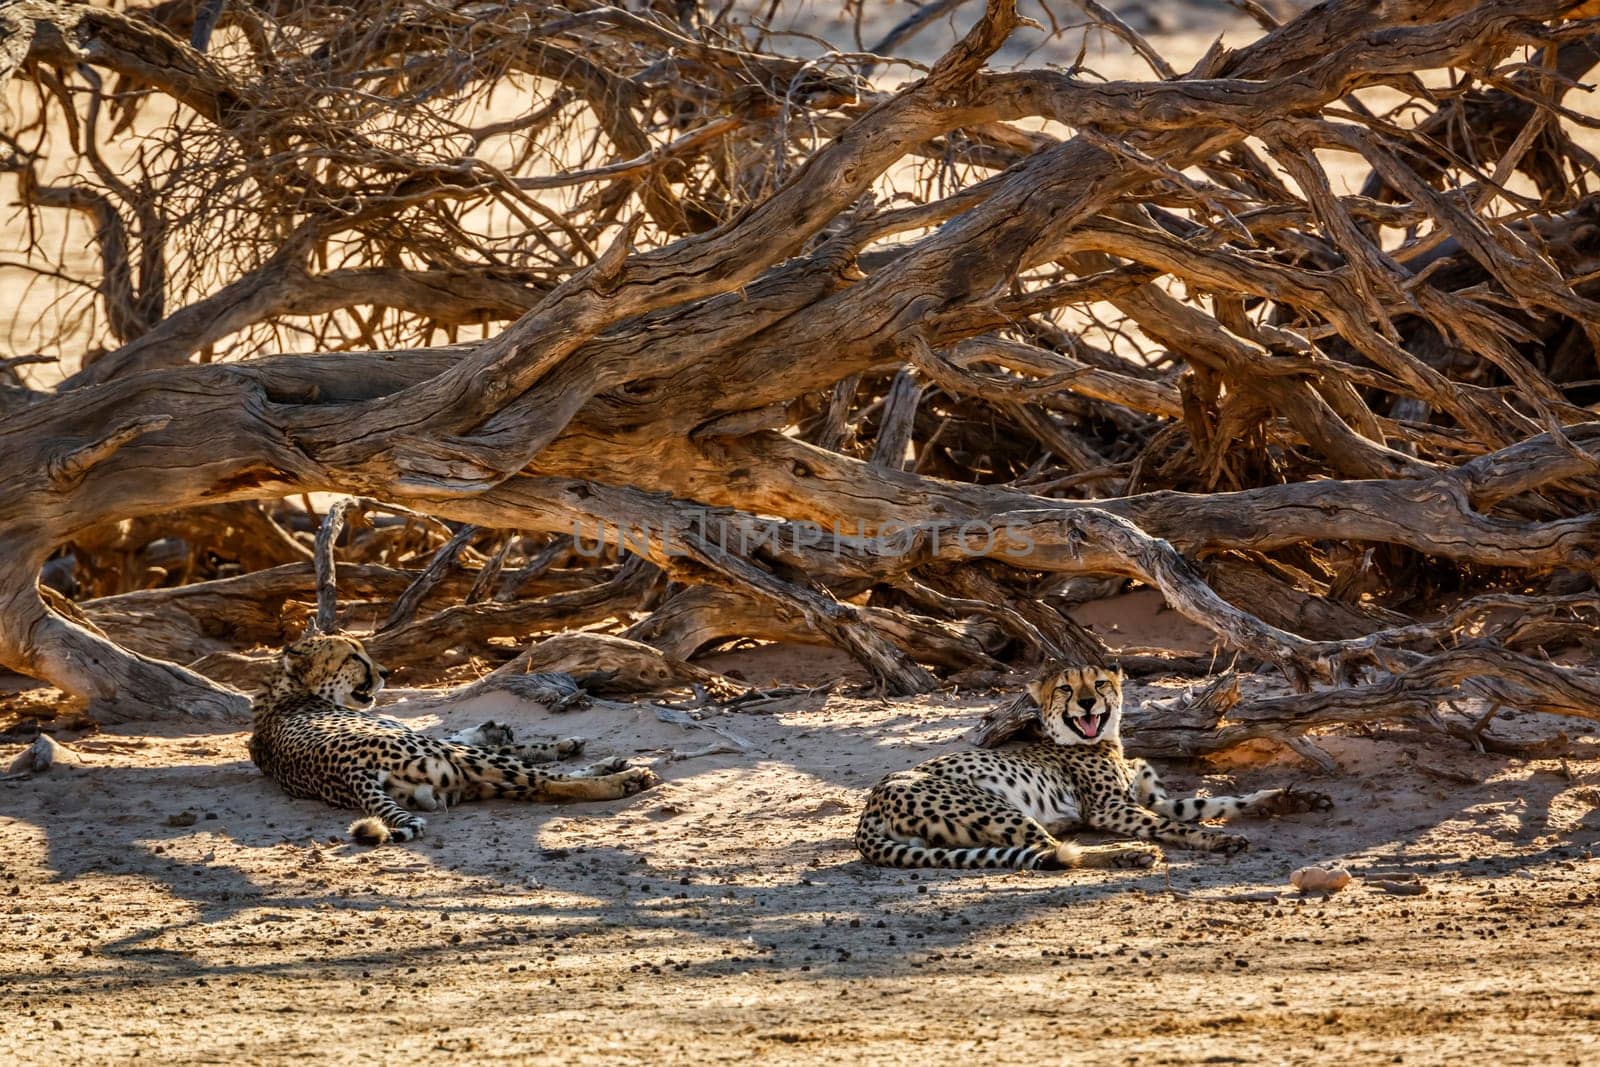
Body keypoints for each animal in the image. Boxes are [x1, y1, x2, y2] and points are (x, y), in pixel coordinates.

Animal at [244, 630, 656, 844]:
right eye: (353, 657)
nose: (385, 672)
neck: (288, 689)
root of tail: (350, 775)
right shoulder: (427, 739)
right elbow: (518, 745)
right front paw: (556, 744)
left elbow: (469, 733)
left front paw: (493, 728)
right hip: (461, 765)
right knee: (547, 782)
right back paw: (624, 776)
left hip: (461, 783)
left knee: (536, 787)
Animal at [857, 662, 1331, 870]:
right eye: (1065, 689)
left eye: (1100, 683)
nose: (1087, 702)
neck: (1105, 741)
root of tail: (868, 809)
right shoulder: (1109, 808)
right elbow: (1180, 825)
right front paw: (1217, 840)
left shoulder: (1150, 800)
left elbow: (1213, 804)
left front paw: (1292, 799)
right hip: (995, 805)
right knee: (1052, 849)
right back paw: (1131, 853)